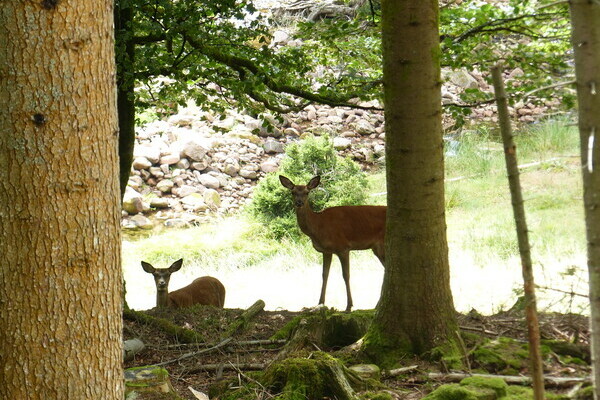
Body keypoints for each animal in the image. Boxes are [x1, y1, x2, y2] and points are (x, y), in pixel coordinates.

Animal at [280, 176, 386, 312]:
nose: (299, 203)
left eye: (307, 192)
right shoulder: (326, 251)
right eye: (293, 192)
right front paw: (320, 303)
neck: (319, 226)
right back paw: (377, 305)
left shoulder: (343, 247)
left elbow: (346, 275)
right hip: (376, 248)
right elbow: (324, 275)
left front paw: (349, 306)